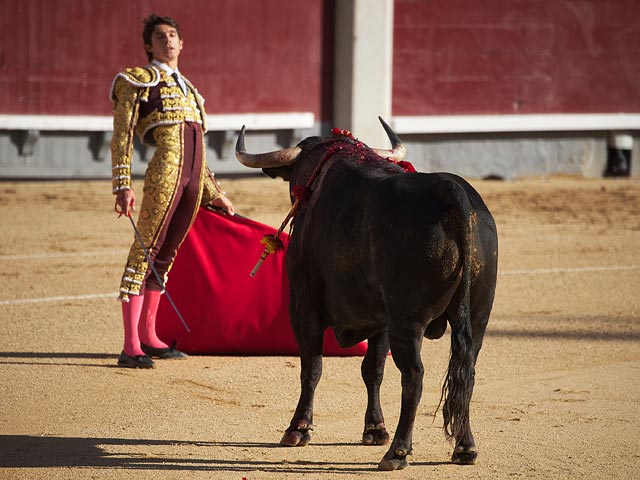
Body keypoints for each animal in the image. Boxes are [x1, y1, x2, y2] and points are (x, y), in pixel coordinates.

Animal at [236, 118, 500, 470]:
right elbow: (372, 369)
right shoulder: (380, 319)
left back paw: (398, 452)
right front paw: (375, 429)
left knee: (414, 375)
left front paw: (298, 429)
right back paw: (464, 448)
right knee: (466, 370)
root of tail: (451, 191)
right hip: (478, 315)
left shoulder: (303, 306)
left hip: (407, 320)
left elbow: (312, 366)